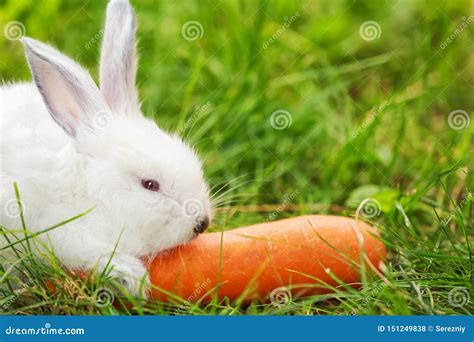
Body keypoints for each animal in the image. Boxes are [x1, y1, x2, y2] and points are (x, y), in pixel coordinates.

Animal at [0, 0, 211, 296]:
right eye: (149, 185)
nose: (202, 223)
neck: (91, 189)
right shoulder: (65, 235)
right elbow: (95, 255)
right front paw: (134, 278)